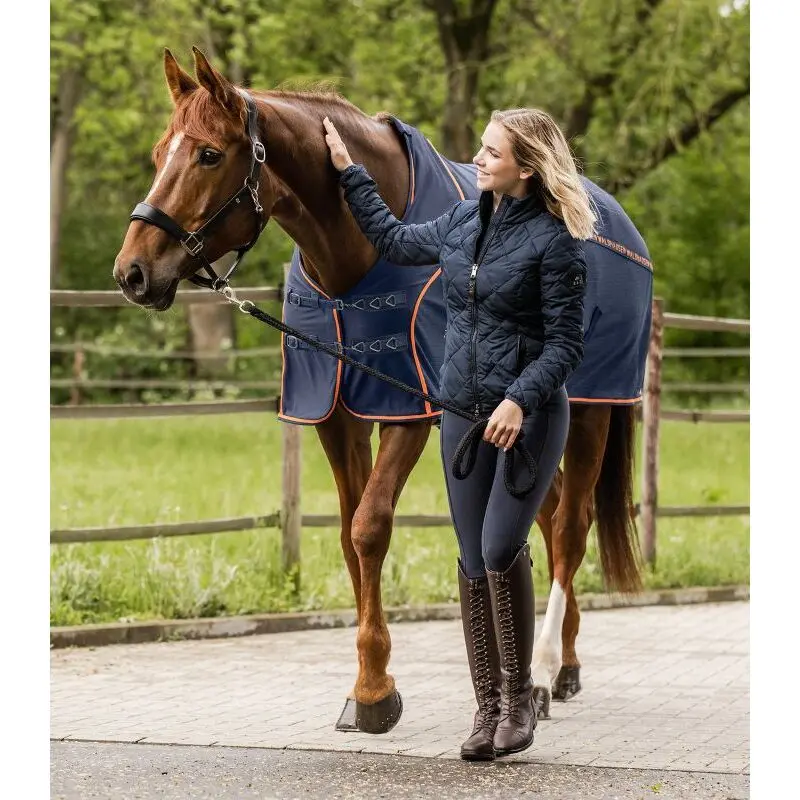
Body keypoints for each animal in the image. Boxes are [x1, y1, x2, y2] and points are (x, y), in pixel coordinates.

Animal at [114, 47, 651, 734]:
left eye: (208, 154)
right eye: (161, 152)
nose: (133, 272)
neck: (353, 257)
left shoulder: (410, 412)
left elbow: (371, 527)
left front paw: (373, 693)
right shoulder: (336, 414)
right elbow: (349, 534)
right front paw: (370, 682)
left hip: (589, 413)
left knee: (569, 528)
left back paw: (544, 668)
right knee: (543, 516)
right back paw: (563, 666)